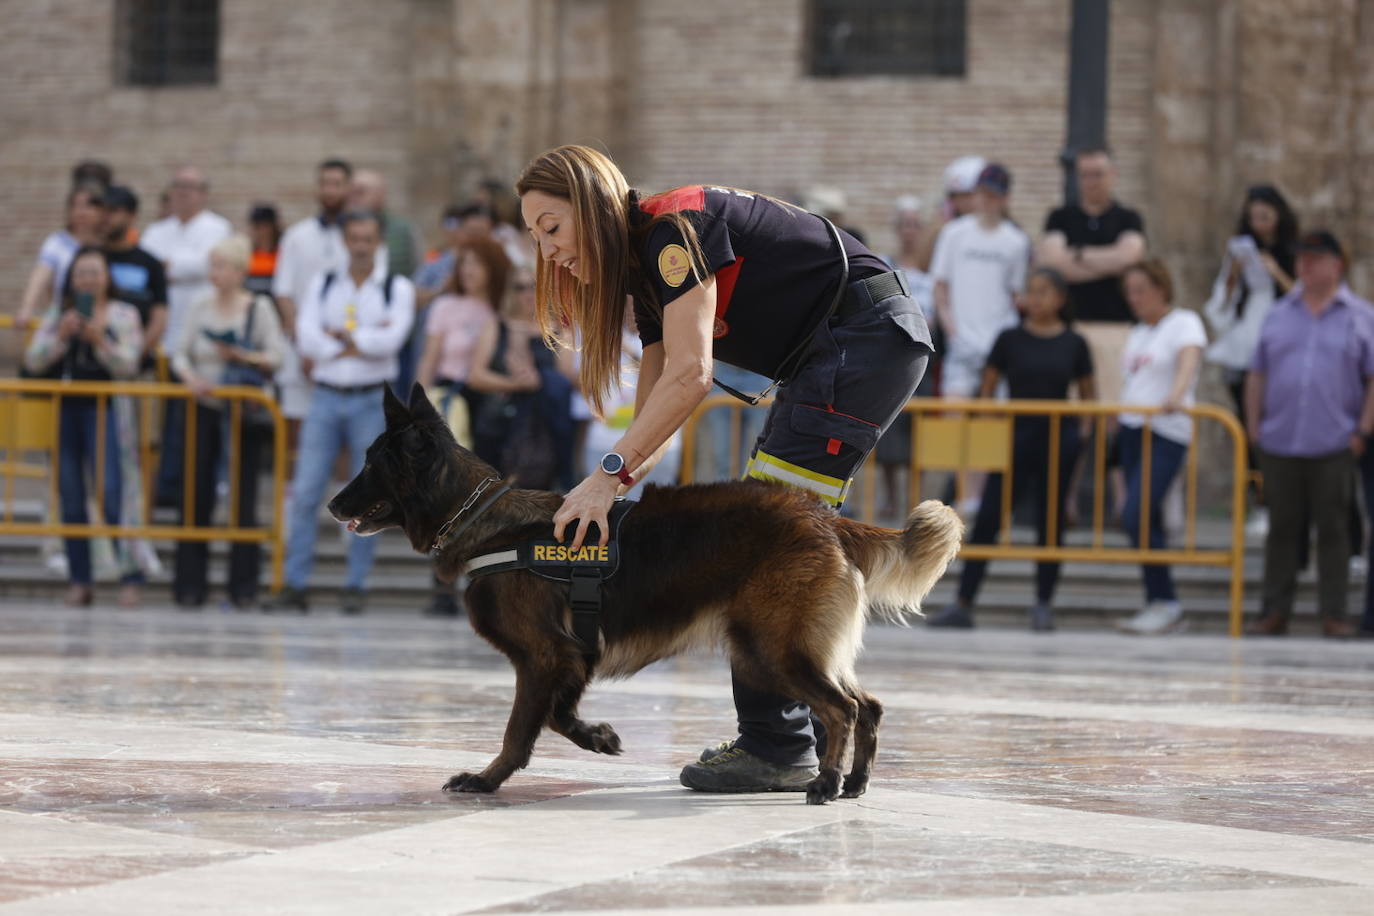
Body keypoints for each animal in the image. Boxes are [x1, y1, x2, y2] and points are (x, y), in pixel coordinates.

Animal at [327, 384, 961, 807]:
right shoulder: (569, 658)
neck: (486, 521)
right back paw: (855, 782)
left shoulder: (544, 657)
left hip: (769, 650)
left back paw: (827, 783)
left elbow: (523, 727)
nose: (332, 505)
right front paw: (597, 737)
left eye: (371, 465)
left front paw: (488, 779)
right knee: (868, 704)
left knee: (841, 708)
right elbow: (558, 715)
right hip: (802, 647)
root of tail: (823, 518)